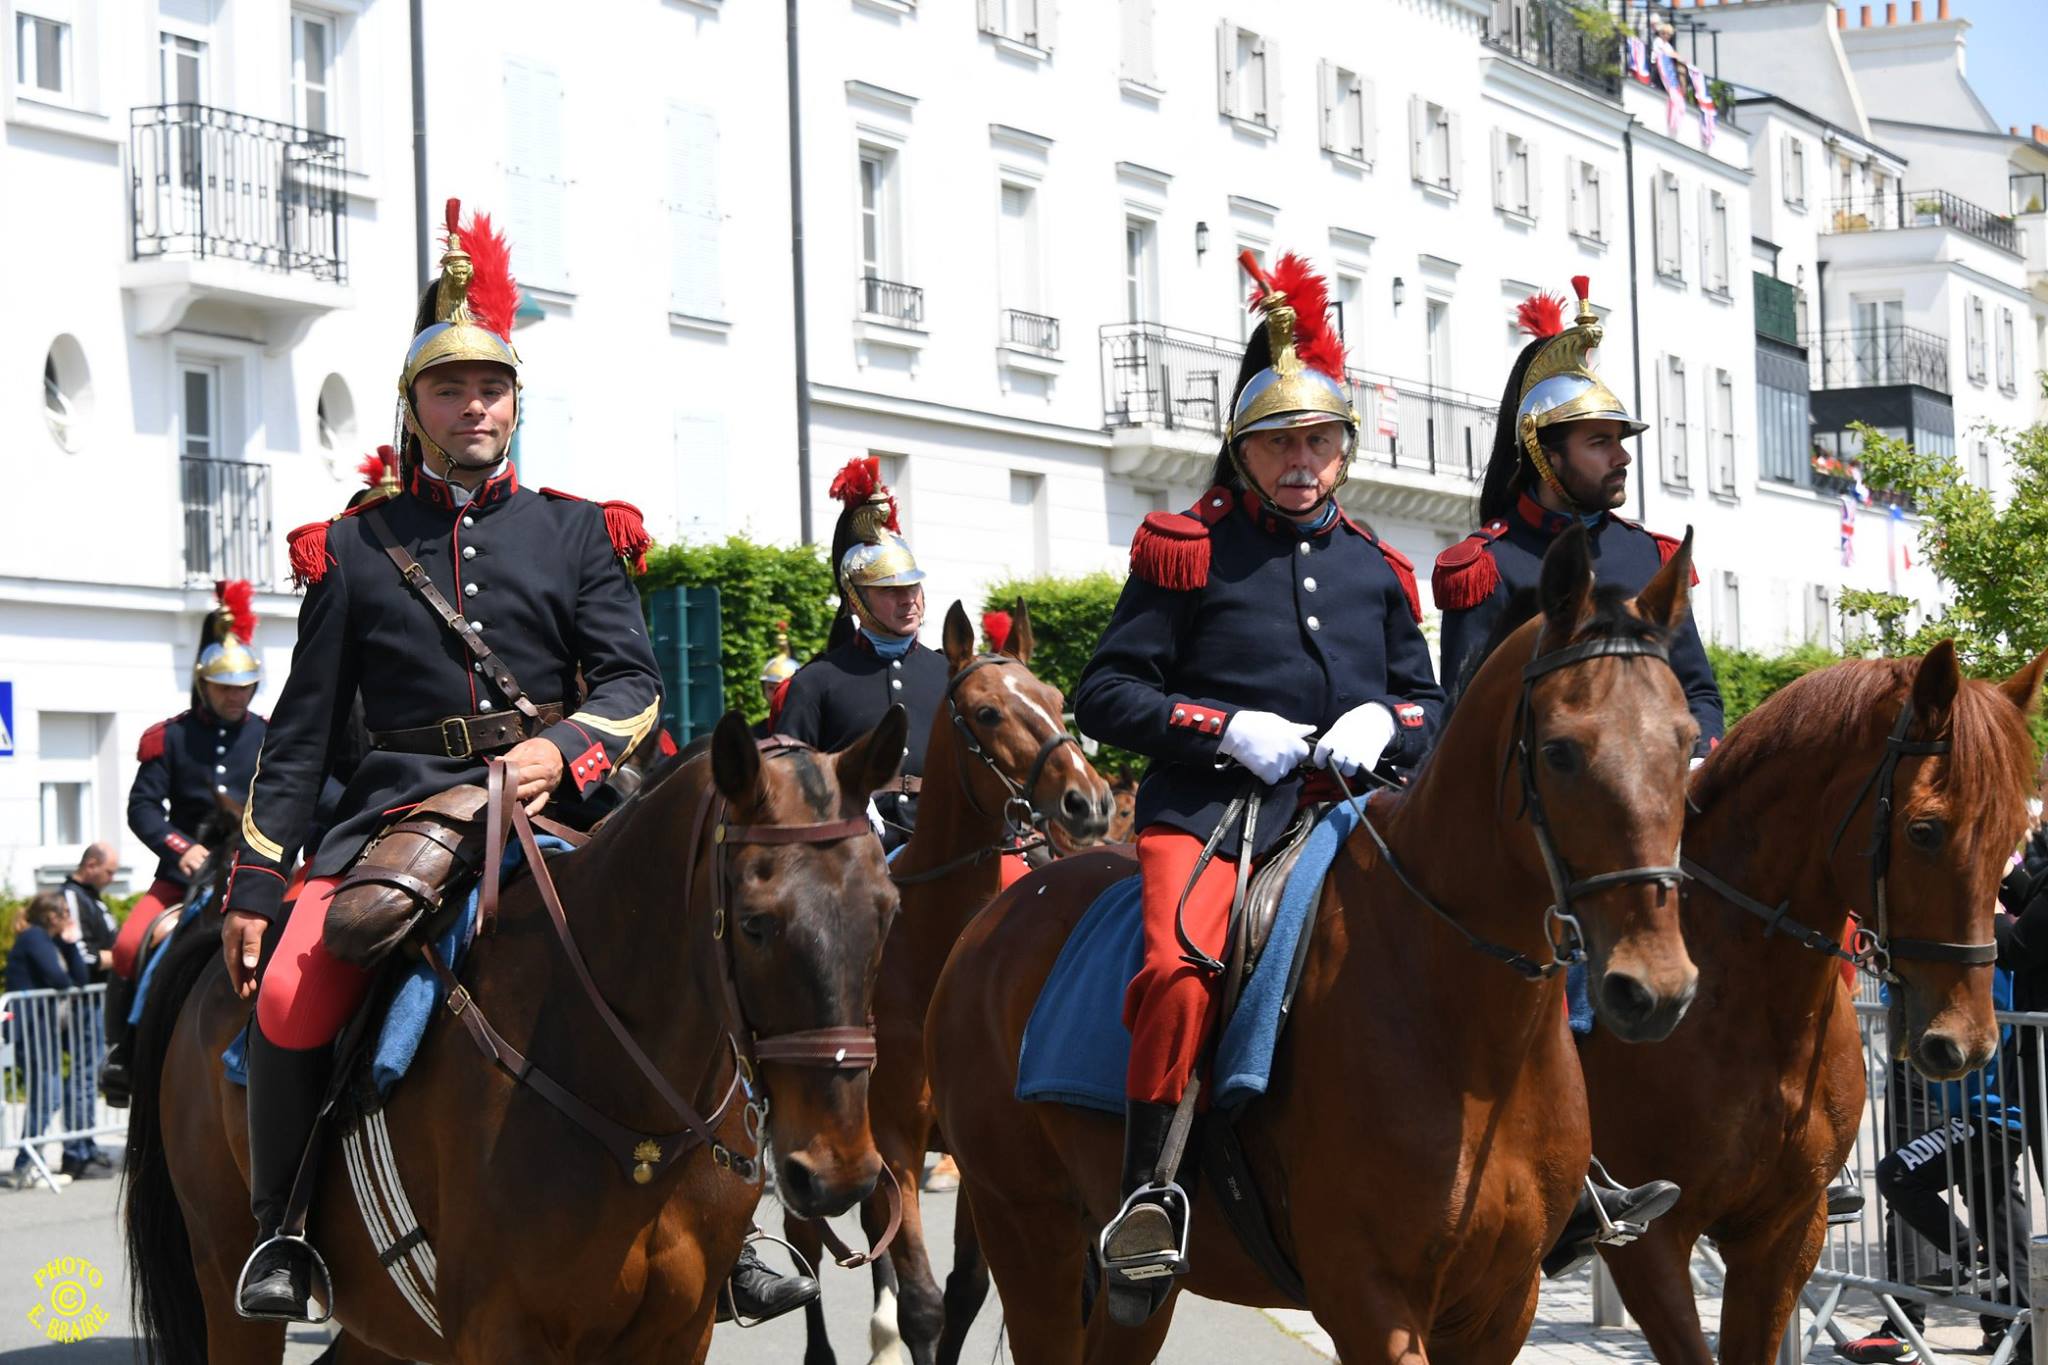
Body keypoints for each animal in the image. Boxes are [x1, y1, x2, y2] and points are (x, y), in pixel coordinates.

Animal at [119, 712, 905, 1365]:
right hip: (228, 1284)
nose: (837, 1174)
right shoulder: (502, 1332)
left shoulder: (677, 1333)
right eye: (754, 923)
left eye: (888, 909)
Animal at [782, 601, 1114, 1365]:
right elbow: (924, 1303)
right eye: (987, 712)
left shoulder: (976, 1151)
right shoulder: (896, 1141)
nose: (1088, 803)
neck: (934, 954)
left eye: (1056, 698)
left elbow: (963, 1291)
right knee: (808, 1244)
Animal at [929, 532, 1695, 1365]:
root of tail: (994, 916)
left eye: (1686, 740)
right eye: (1559, 751)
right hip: (1026, 1228)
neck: (1472, 1031)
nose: (1657, 988)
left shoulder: (1502, 1304)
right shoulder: (1368, 1300)